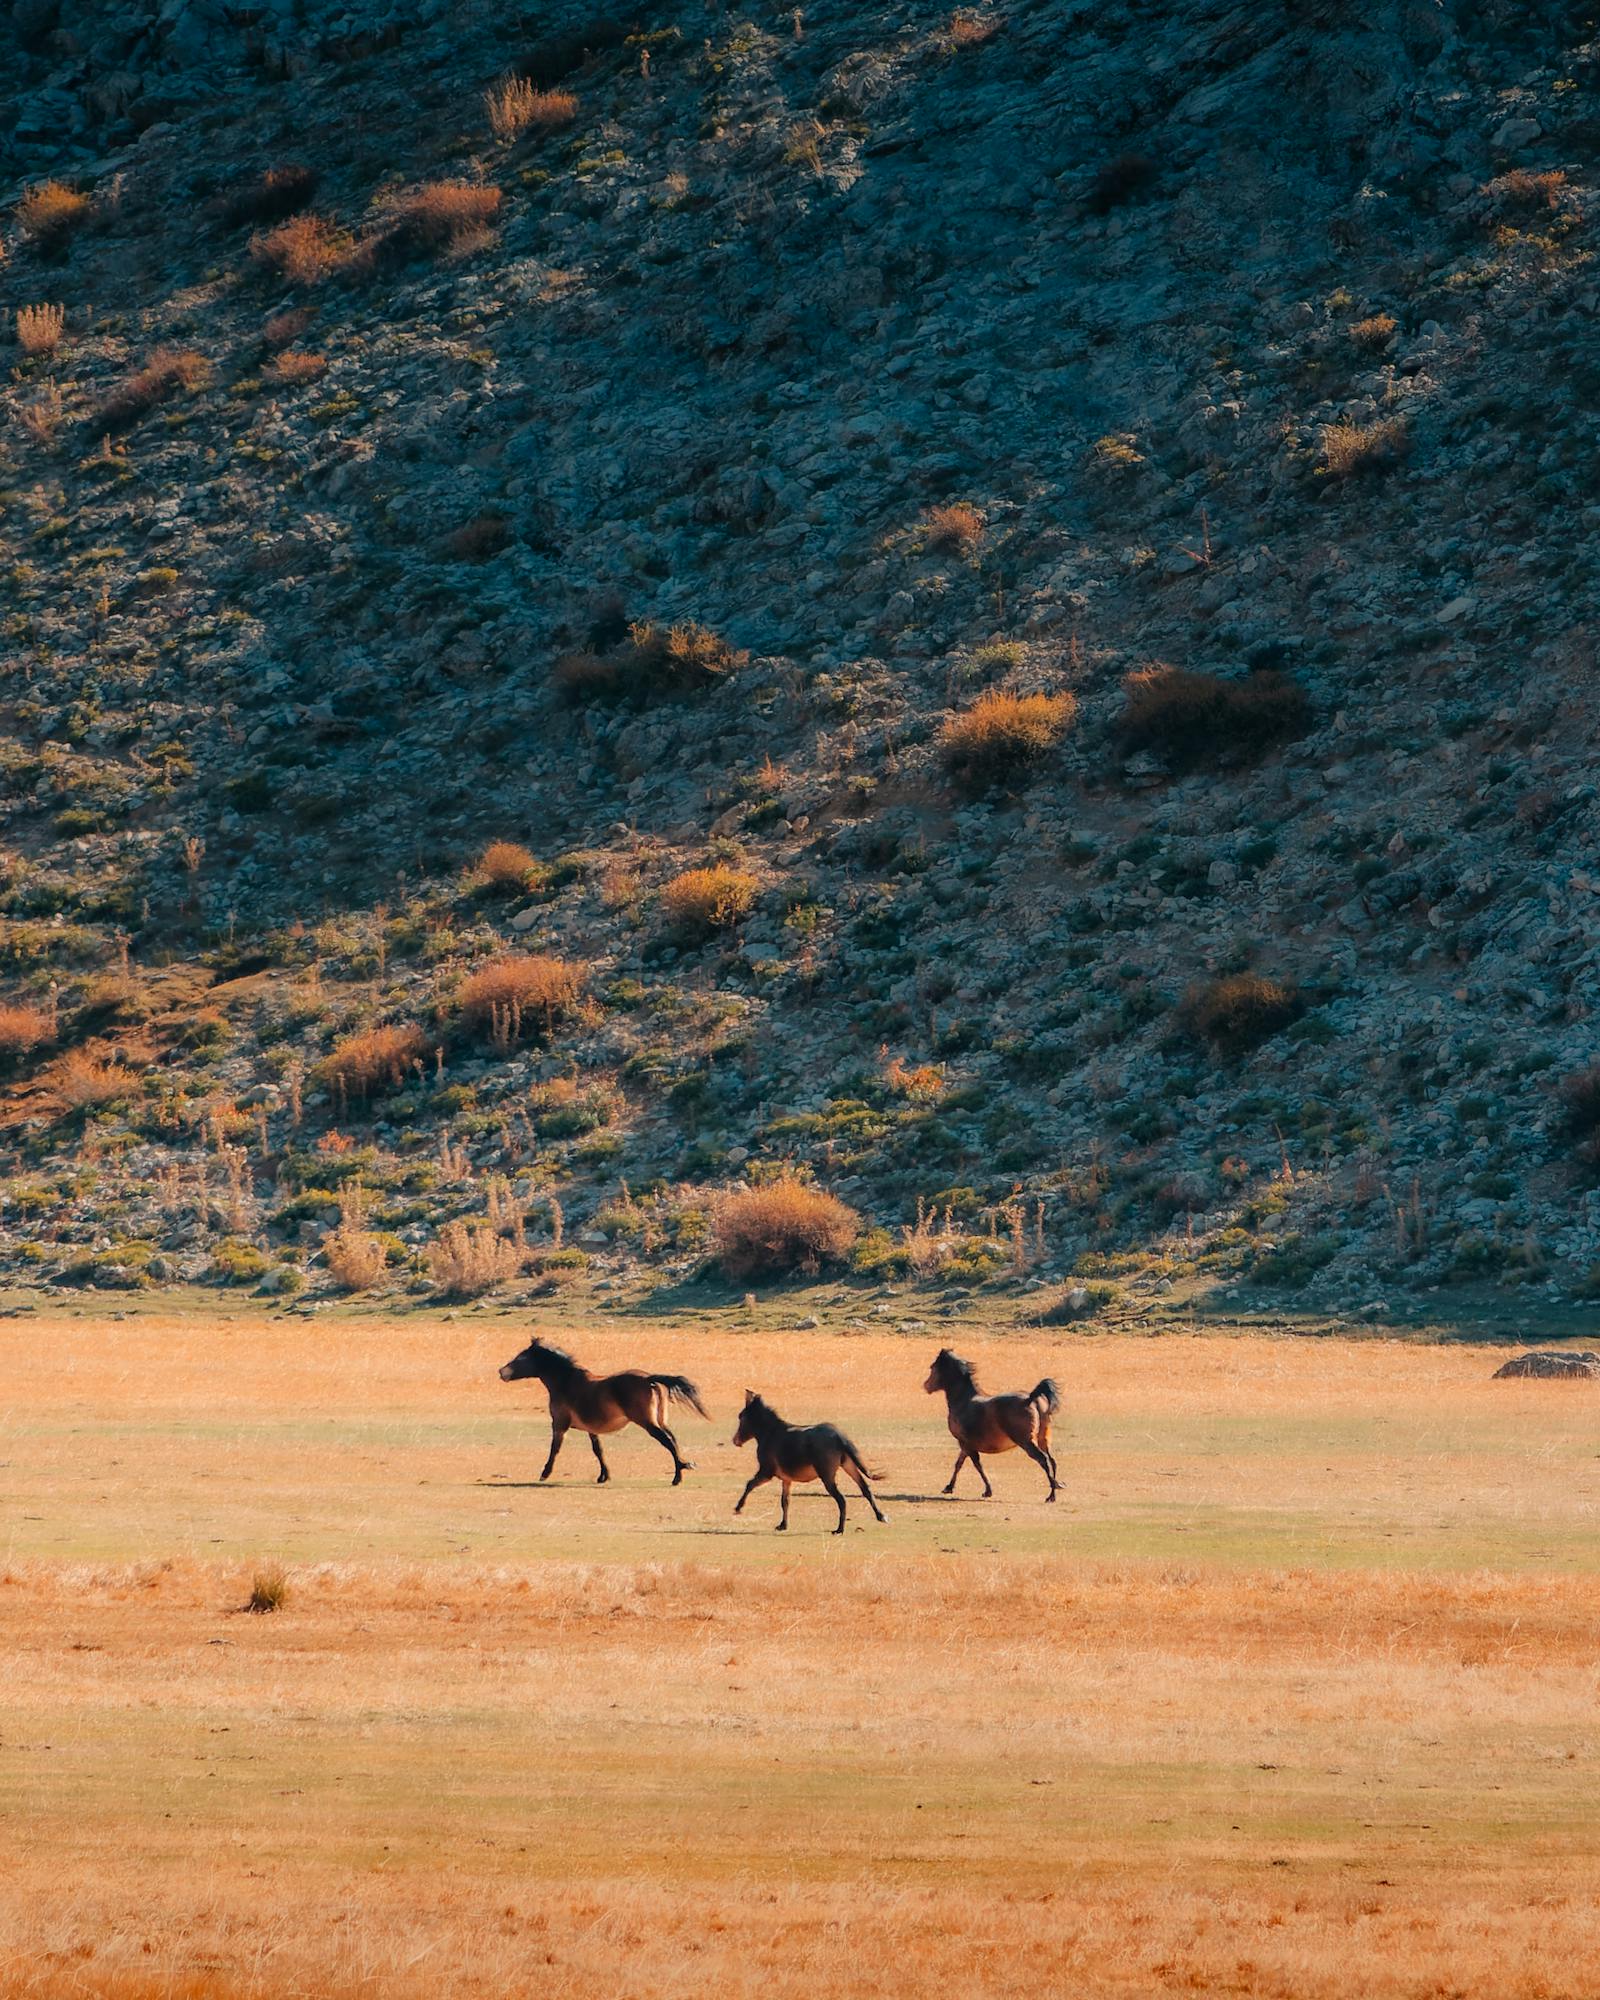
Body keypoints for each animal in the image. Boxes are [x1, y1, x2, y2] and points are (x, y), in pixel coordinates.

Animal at [494, 1344, 708, 1488]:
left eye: (521, 1358)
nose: (501, 1372)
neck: (566, 1382)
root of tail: (649, 1379)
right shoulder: (591, 1429)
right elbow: (598, 1450)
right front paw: (603, 1476)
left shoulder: (559, 1424)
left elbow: (555, 1449)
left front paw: (544, 1474)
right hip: (660, 1420)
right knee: (673, 1439)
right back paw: (683, 1467)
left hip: (648, 1423)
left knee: (668, 1442)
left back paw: (677, 1477)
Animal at [736, 1384, 888, 1536]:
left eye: (741, 1417)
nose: (735, 1440)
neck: (770, 1433)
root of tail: (839, 1437)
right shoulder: (786, 1479)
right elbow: (785, 1501)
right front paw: (783, 1525)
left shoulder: (766, 1472)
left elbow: (749, 1484)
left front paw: (738, 1508)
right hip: (849, 1466)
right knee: (865, 1489)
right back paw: (881, 1516)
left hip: (827, 1476)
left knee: (842, 1499)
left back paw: (839, 1529)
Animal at [924, 1344, 1064, 1504]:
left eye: (932, 1367)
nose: (926, 1385)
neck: (963, 1401)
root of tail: (1030, 1399)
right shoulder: (966, 1444)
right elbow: (959, 1463)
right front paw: (949, 1487)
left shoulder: (965, 1443)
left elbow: (976, 1465)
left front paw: (987, 1491)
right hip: (1043, 1438)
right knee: (1052, 1460)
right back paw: (1055, 1489)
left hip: (1026, 1441)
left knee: (1043, 1459)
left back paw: (1052, 1493)